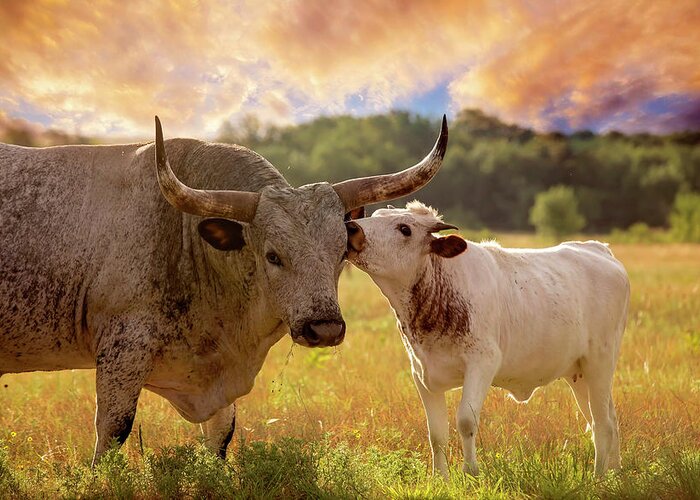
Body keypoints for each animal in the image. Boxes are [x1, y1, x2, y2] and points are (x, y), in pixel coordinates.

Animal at [0, 115, 448, 462]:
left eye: (342, 251)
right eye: (272, 255)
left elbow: (221, 435)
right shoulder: (121, 351)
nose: (324, 329)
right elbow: (112, 432)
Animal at [348, 202, 632, 476]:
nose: (351, 228)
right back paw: (615, 471)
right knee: (606, 418)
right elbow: (436, 434)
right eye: (375, 214)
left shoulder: (483, 362)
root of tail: (599, 249)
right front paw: (440, 478)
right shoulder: (422, 374)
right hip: (580, 373)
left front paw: (471, 471)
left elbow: (465, 420)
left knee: (602, 424)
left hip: (600, 362)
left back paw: (598, 477)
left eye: (404, 228)